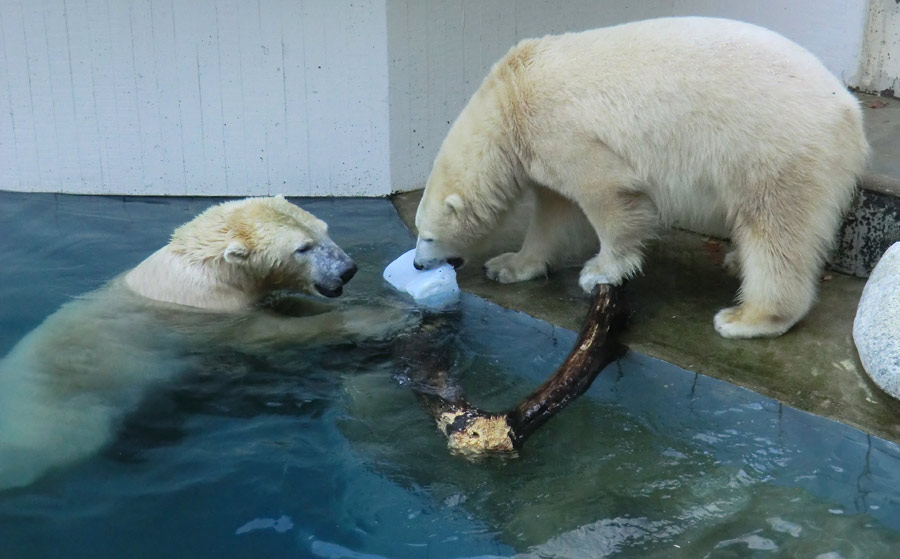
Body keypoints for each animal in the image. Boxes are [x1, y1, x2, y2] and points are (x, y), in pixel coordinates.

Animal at [414, 17, 864, 340]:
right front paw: (508, 265)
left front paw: (601, 270)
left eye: (429, 236)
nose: (418, 264)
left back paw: (746, 317)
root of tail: (850, 112)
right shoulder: (539, 148)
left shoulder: (561, 129)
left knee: (776, 229)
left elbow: (607, 195)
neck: (510, 99)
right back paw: (736, 262)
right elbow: (553, 214)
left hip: (774, 146)